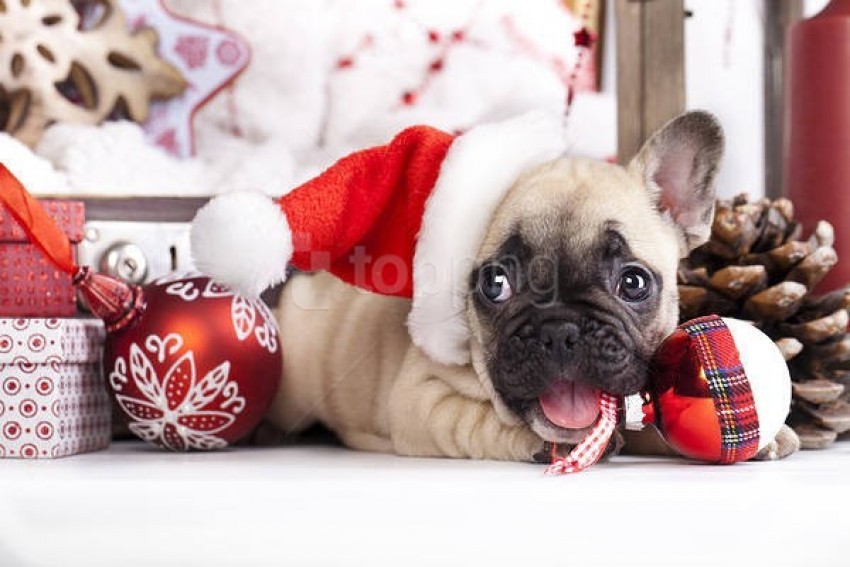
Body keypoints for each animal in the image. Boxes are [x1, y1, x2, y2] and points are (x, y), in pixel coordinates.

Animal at [264, 113, 796, 464]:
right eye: (496, 283)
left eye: (633, 282)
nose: (560, 330)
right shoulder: (420, 399)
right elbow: (475, 422)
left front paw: (770, 435)